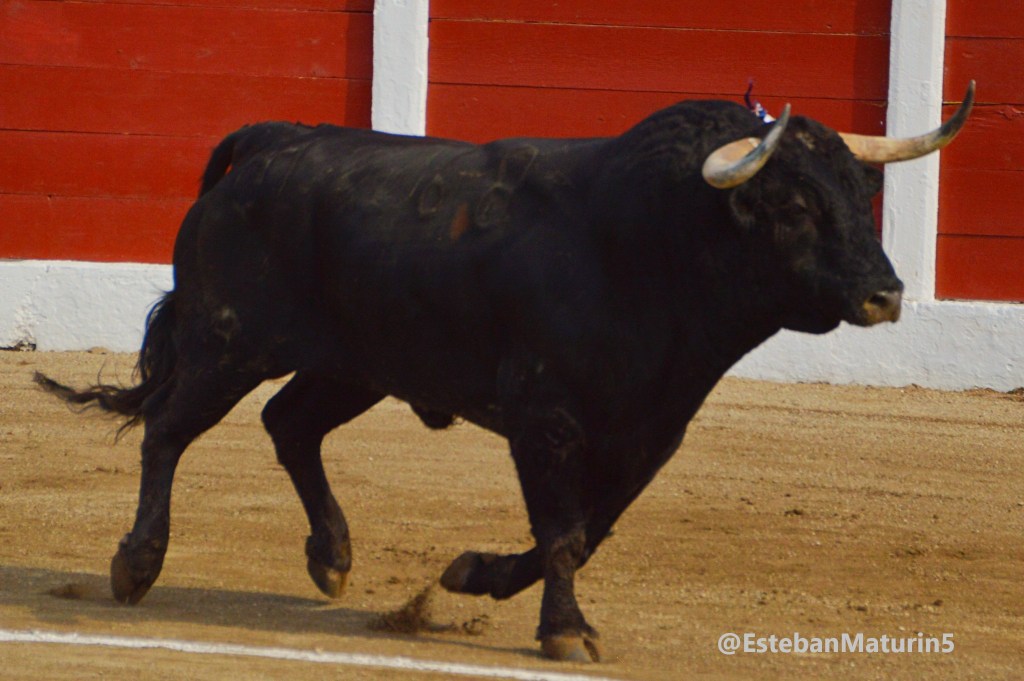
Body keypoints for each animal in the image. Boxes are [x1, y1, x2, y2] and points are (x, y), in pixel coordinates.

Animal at [37, 82, 974, 663]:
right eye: (792, 205)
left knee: (289, 424)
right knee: (169, 431)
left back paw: (332, 556)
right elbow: (562, 529)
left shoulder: (650, 430)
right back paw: (137, 565)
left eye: (859, 193)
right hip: (228, 344)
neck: (643, 243)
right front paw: (564, 630)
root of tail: (278, 139)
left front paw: (474, 573)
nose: (887, 293)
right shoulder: (545, 417)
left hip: (354, 363)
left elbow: (590, 529)